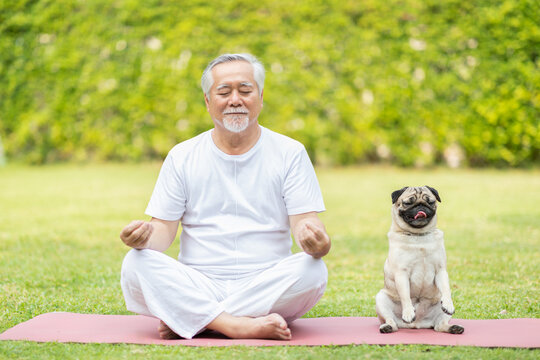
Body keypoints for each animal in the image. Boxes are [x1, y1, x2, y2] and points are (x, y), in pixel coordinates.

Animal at [376, 187, 464, 334]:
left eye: (430, 202)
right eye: (408, 203)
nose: (421, 206)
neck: (419, 236)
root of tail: (416, 324)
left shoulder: (441, 270)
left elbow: (446, 289)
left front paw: (448, 303)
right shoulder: (401, 273)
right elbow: (405, 295)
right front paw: (408, 312)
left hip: (440, 312)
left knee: (439, 325)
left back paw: (454, 328)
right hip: (381, 299)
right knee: (391, 321)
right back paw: (387, 327)